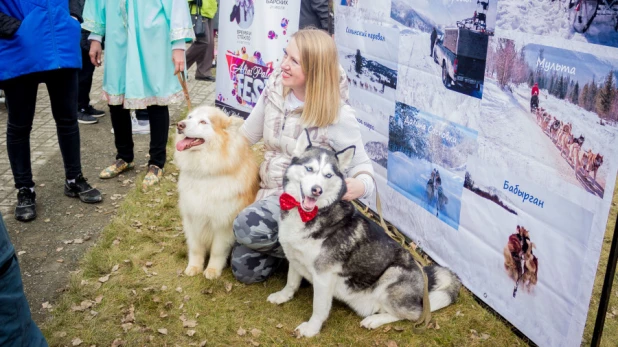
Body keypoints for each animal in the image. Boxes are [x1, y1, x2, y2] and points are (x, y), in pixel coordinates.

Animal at [268, 130, 460, 338]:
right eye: (309, 169)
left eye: (328, 175)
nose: (316, 190)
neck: (311, 213)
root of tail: (424, 276)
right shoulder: (295, 257)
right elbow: (291, 282)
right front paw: (282, 296)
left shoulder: (323, 276)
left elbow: (318, 308)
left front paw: (311, 329)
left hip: (392, 275)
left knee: (415, 314)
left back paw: (374, 320)